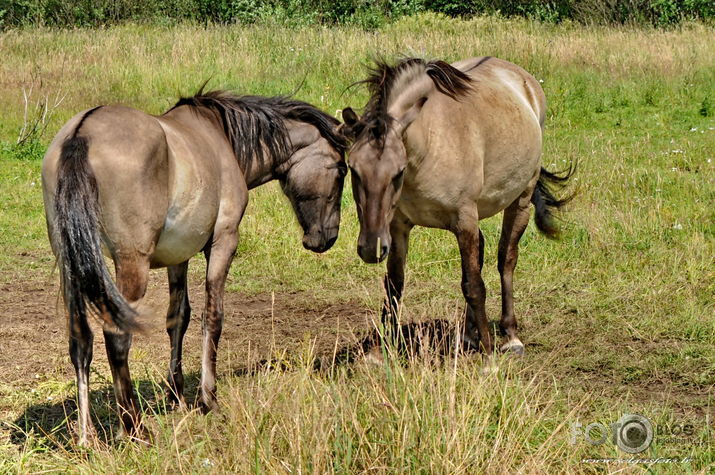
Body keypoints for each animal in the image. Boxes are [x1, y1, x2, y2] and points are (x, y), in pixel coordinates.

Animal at [42, 91, 350, 444]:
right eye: (342, 170)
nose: (327, 237)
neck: (222, 138)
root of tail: (82, 132)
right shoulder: (223, 242)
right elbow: (212, 317)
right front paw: (209, 398)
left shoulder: (179, 256)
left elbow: (178, 317)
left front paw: (175, 394)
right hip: (131, 266)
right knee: (116, 337)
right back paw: (134, 428)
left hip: (72, 267)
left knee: (81, 339)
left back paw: (86, 436)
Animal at [342, 56, 576, 368]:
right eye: (353, 169)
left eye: (397, 172)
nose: (371, 248)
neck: (431, 143)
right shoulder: (398, 227)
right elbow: (394, 287)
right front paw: (379, 353)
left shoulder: (464, 221)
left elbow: (474, 286)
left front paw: (489, 357)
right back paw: (468, 334)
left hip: (520, 201)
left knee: (506, 260)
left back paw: (510, 337)